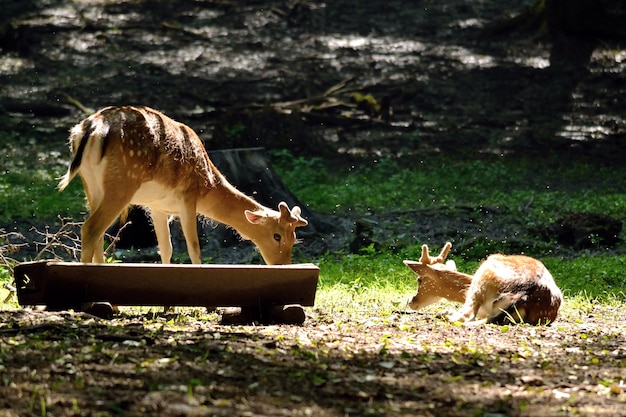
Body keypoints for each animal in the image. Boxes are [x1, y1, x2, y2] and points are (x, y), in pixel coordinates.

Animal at [58, 105, 308, 264]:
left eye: (295, 238)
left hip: (90, 185)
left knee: (98, 234)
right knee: (90, 229)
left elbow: (166, 249)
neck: (209, 183)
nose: (283, 265)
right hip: (121, 184)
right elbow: (194, 248)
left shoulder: (157, 207)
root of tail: (91, 129)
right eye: (277, 236)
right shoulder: (188, 197)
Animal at [402, 240, 564, 324]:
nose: (411, 301)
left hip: (483, 278)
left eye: (419, 279)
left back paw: (446, 314)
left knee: (466, 317)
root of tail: (524, 294)